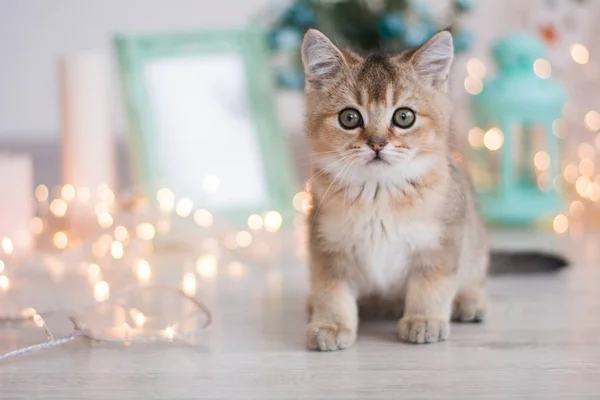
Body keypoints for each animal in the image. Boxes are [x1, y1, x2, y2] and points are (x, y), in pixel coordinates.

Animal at [302, 29, 564, 352]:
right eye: (349, 118)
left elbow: (431, 286)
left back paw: (470, 302)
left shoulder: (442, 242)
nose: (377, 144)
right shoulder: (325, 245)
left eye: (404, 117)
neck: (379, 197)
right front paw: (332, 323)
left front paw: (424, 319)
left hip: (474, 239)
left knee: (475, 275)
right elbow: (331, 291)